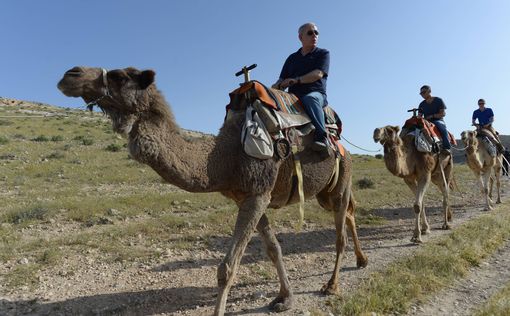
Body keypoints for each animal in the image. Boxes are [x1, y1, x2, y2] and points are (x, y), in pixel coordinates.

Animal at [58, 65, 366, 314]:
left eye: (121, 76)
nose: (70, 74)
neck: (224, 156)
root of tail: (342, 144)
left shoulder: (258, 194)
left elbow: (227, 268)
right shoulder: (249, 197)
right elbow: (273, 249)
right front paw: (284, 298)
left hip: (342, 179)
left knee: (340, 232)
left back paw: (332, 285)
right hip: (324, 192)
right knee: (349, 214)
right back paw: (361, 261)